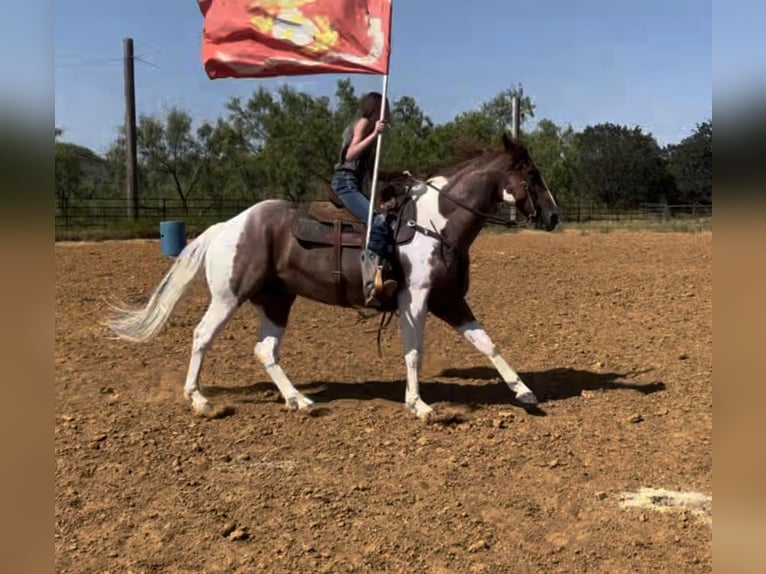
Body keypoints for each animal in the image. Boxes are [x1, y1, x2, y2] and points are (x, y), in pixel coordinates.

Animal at [106, 136, 560, 424]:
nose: (554, 216)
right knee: (202, 336)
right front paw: (420, 406)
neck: (436, 222)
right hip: (228, 296)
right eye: (531, 173)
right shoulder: (414, 300)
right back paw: (199, 400)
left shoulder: (449, 300)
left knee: (265, 350)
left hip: (277, 300)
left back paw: (299, 400)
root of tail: (226, 226)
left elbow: (488, 343)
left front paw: (523, 392)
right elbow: (414, 352)